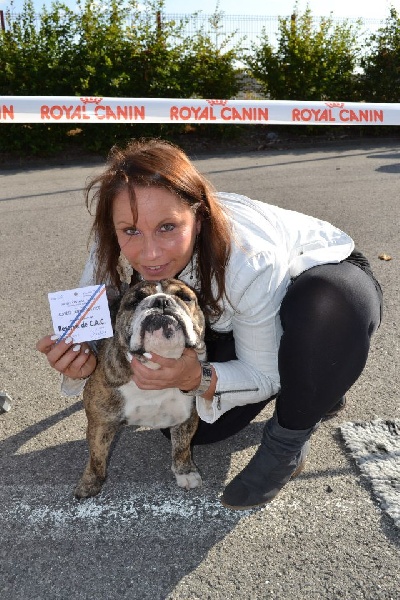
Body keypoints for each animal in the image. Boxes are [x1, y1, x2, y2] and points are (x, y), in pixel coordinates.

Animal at [74, 279, 206, 499]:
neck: (154, 365)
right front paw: (90, 483)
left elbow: (182, 447)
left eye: (185, 297)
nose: (161, 301)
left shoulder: (187, 417)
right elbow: (96, 455)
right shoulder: (100, 423)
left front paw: (185, 472)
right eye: (135, 301)